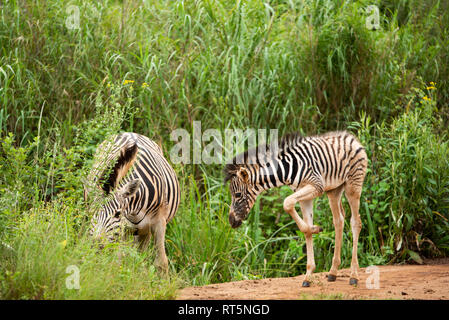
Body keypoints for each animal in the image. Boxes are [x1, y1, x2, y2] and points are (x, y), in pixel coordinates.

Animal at [85, 132, 179, 270]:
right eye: (93, 213)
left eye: (118, 214)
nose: (96, 245)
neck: (135, 210)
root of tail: (129, 132)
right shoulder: (121, 230)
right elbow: (118, 261)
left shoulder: (159, 222)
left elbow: (161, 262)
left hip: (144, 230)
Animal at [224, 131, 368, 286]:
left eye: (237, 195)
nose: (231, 221)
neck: (286, 170)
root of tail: (351, 137)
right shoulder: (304, 195)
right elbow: (306, 229)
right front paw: (308, 273)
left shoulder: (316, 186)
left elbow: (287, 203)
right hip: (334, 190)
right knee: (338, 221)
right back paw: (333, 272)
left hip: (353, 185)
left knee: (355, 222)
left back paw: (354, 275)